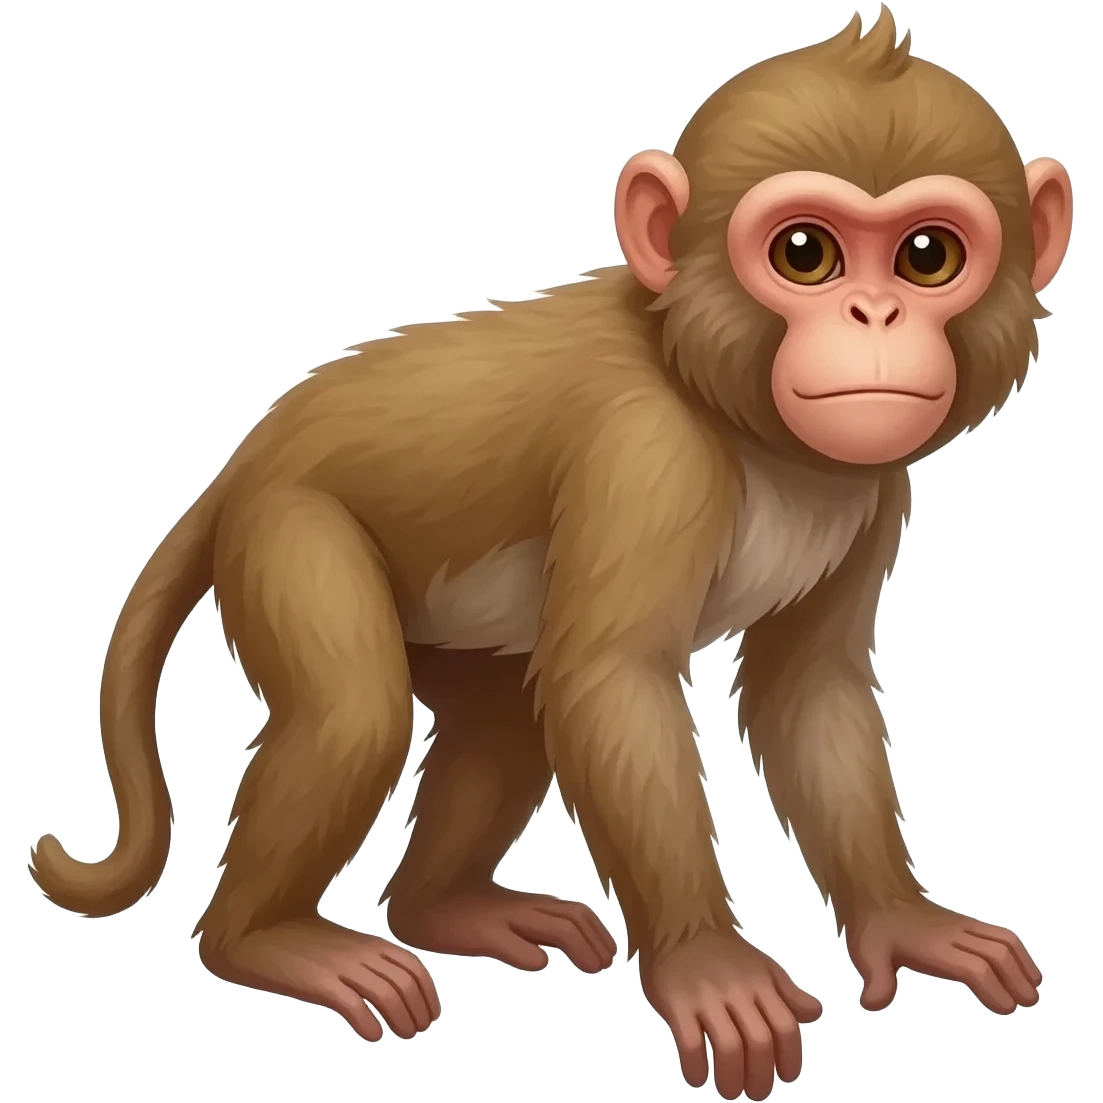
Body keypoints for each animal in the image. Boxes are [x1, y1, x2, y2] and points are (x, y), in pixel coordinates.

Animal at [28, 9, 1071, 1101]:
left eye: (925, 257)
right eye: (803, 253)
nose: (874, 317)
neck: (726, 401)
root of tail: (247, 458)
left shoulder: (875, 490)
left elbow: (806, 690)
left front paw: (903, 920)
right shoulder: (645, 454)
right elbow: (613, 681)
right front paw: (705, 960)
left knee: (500, 731)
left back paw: (439, 907)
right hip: (286, 528)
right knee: (354, 712)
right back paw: (264, 939)